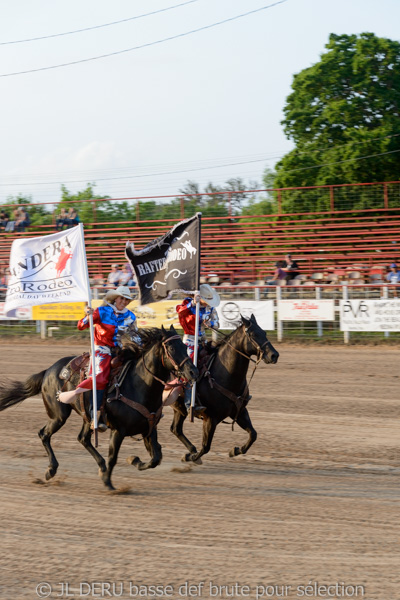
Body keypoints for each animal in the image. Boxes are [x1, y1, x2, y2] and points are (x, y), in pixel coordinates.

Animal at [0, 326, 198, 490]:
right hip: (58, 416)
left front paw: (134, 460)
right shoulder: (118, 430)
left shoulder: (149, 427)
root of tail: (48, 371)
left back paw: (99, 465)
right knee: (44, 434)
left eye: (184, 346)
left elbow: (155, 457)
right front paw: (108, 482)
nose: (193, 372)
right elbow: (114, 456)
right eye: (171, 348)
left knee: (83, 438)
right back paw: (51, 470)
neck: (138, 385)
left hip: (88, 418)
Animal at [170, 314, 280, 464]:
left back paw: (191, 449)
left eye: (264, 332)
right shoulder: (210, 418)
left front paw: (235, 450)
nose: (274, 355)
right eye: (253, 334)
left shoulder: (239, 411)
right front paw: (191, 457)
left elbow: (253, 434)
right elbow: (206, 447)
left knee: (176, 429)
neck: (224, 375)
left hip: (179, 409)